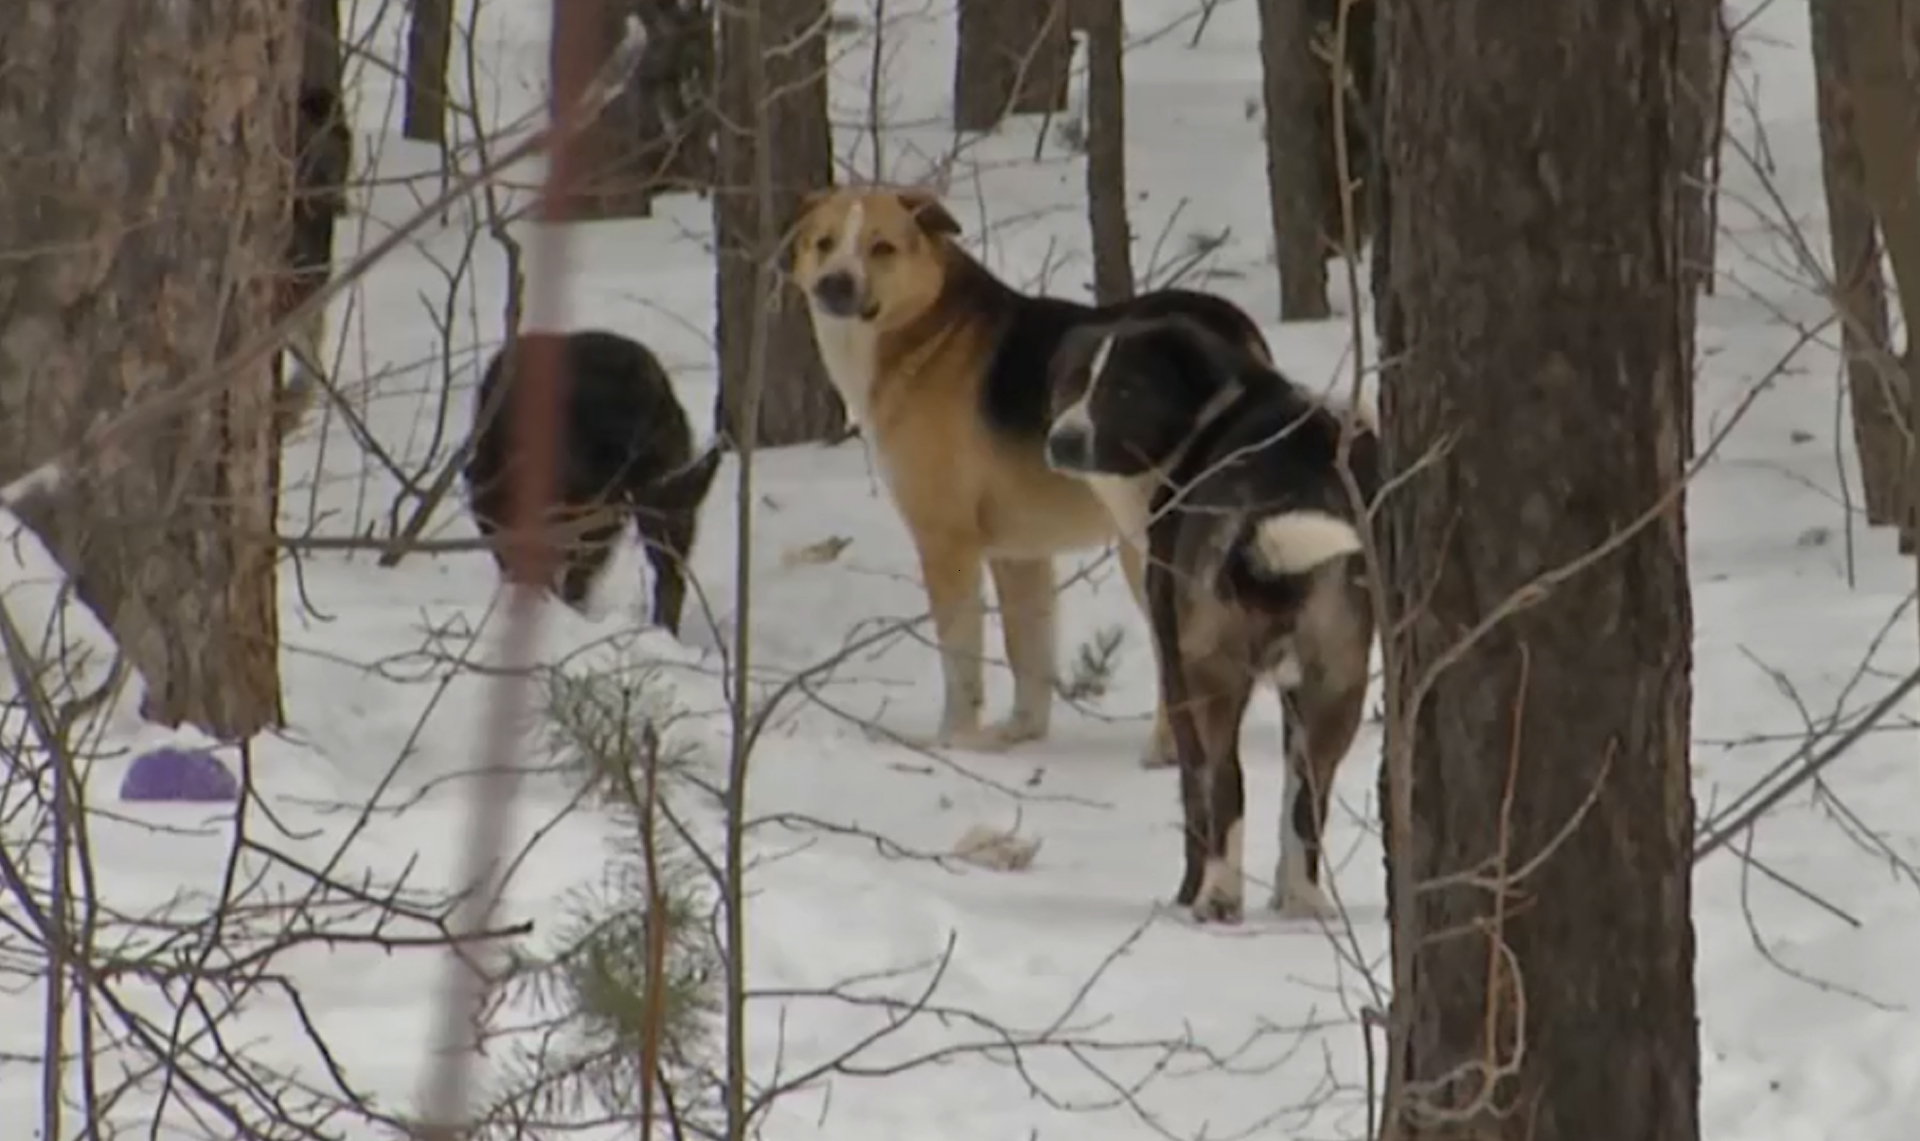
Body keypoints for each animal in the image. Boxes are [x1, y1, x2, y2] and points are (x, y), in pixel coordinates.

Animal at [787, 186, 1267, 756]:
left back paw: (1164, 750)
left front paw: (954, 740)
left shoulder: (946, 540)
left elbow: (960, 659)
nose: (834, 283)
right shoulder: (1021, 555)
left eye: (882, 248)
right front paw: (1020, 735)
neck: (928, 331)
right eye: (825, 243)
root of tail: (1230, 330)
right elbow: (1030, 655)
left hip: (1147, 541)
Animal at [1044, 315, 1374, 918]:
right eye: (1073, 382)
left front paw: (1185, 891)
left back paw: (1216, 896)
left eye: (1124, 389)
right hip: (1338, 683)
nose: (1064, 441)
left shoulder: (1172, 658)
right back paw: (1302, 899)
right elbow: (1294, 801)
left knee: (1224, 784)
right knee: (1307, 801)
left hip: (1208, 678)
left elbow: (1195, 797)